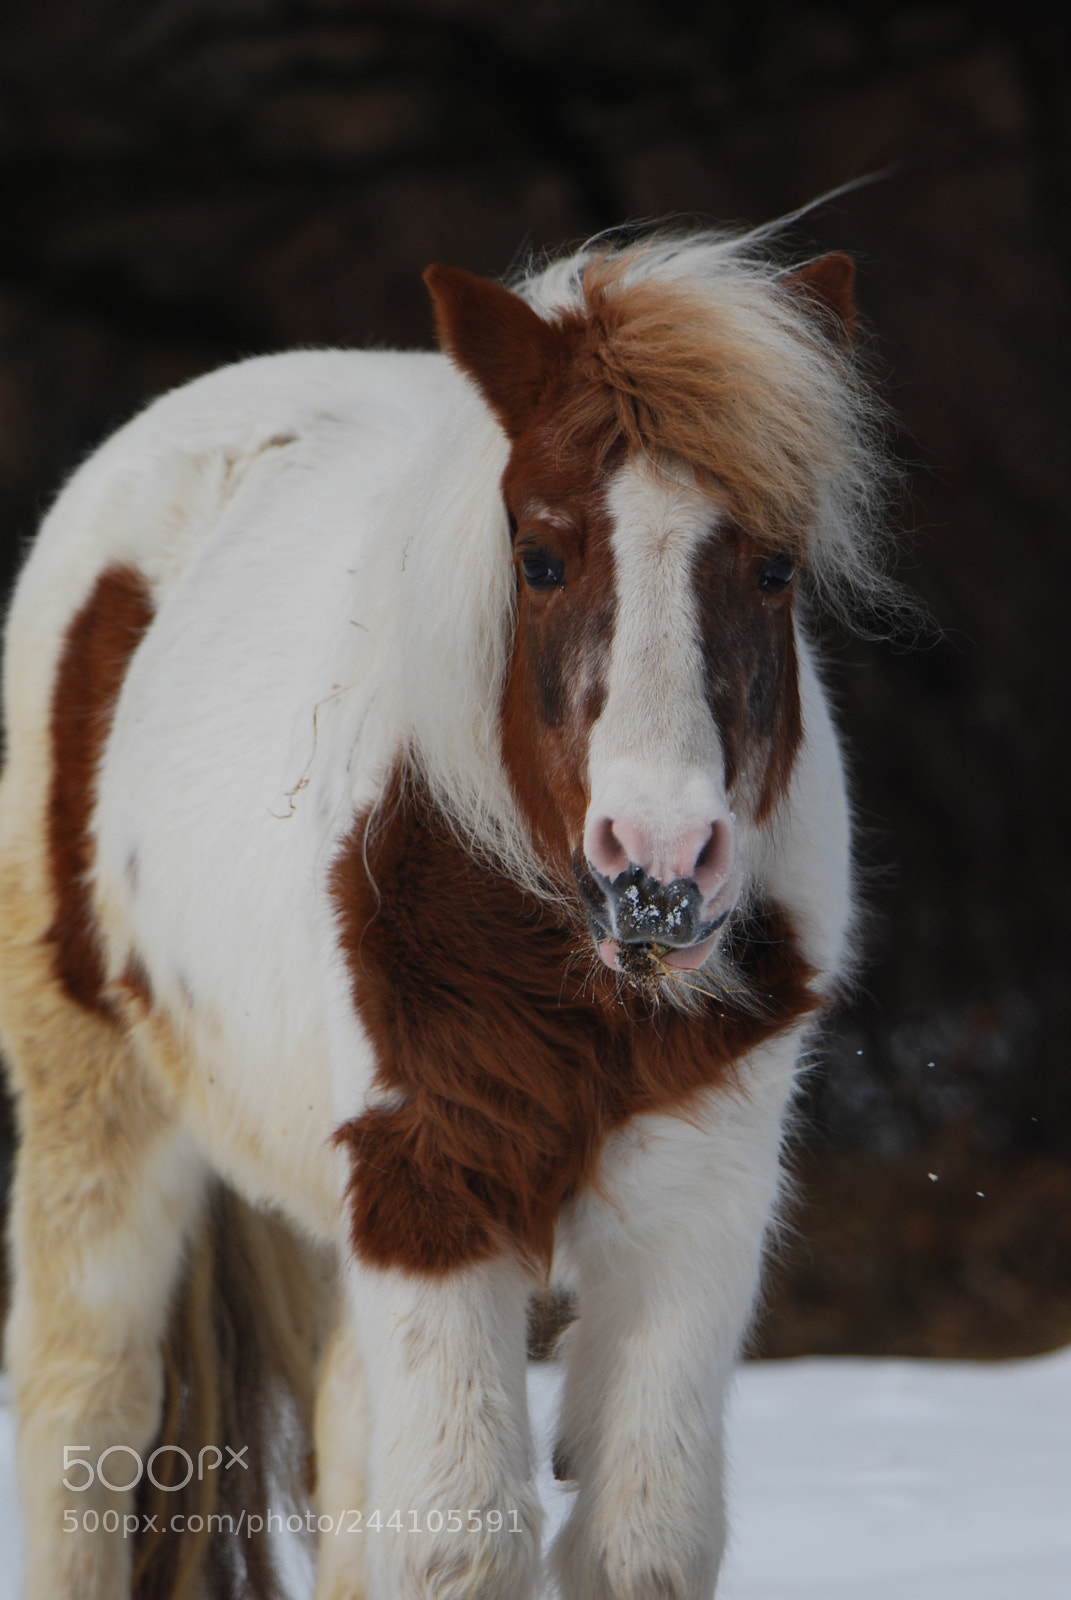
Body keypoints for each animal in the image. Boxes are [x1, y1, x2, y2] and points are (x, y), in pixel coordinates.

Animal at [0, 223, 891, 1600]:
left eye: (775, 566)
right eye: (540, 557)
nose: (659, 863)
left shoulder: (697, 1210)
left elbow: (640, 1537)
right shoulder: (425, 1189)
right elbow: (463, 1539)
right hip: (97, 1101)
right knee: (85, 1414)